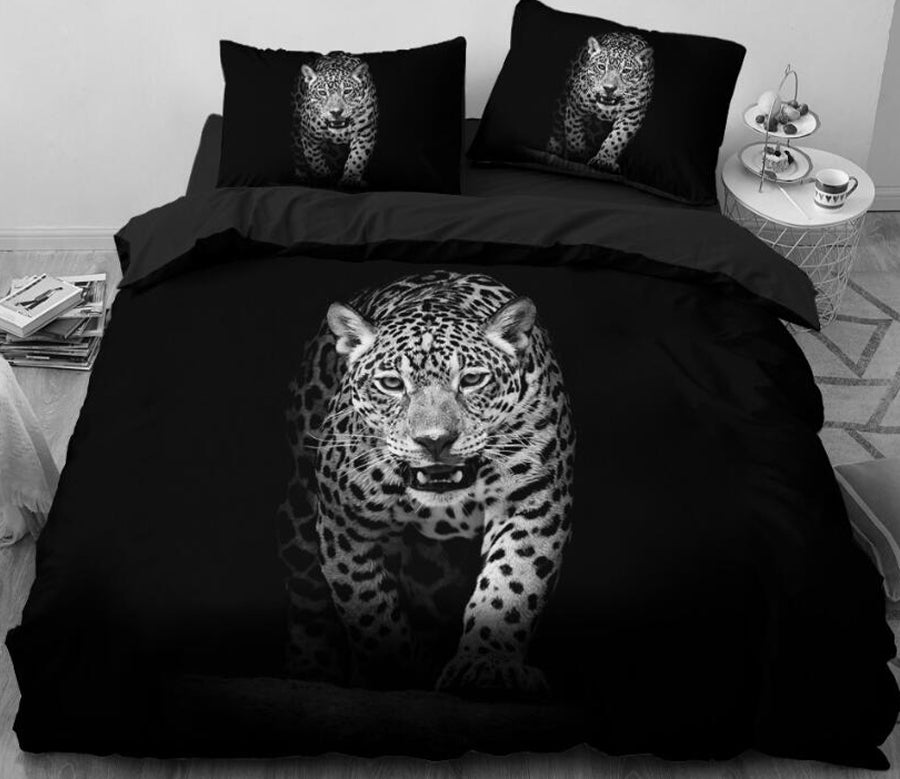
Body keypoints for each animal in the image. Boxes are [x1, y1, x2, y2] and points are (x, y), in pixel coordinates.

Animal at [275, 270, 576, 696]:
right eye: (391, 384)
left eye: (471, 379)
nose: (434, 441)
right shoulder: (343, 523)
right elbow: (368, 608)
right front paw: (393, 672)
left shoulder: (533, 499)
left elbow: (512, 583)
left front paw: (488, 664)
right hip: (300, 521)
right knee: (307, 604)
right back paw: (310, 671)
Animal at [291, 52, 378, 188]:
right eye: (322, 92)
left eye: (347, 91)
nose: (336, 112)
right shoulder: (309, 136)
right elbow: (316, 161)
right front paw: (326, 179)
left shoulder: (365, 133)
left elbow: (357, 158)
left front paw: (350, 180)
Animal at [547, 31, 654, 173]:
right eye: (601, 67)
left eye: (626, 71)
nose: (609, 88)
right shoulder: (575, 106)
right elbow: (574, 134)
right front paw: (578, 156)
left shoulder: (632, 115)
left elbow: (617, 138)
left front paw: (604, 160)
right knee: (558, 125)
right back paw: (554, 147)